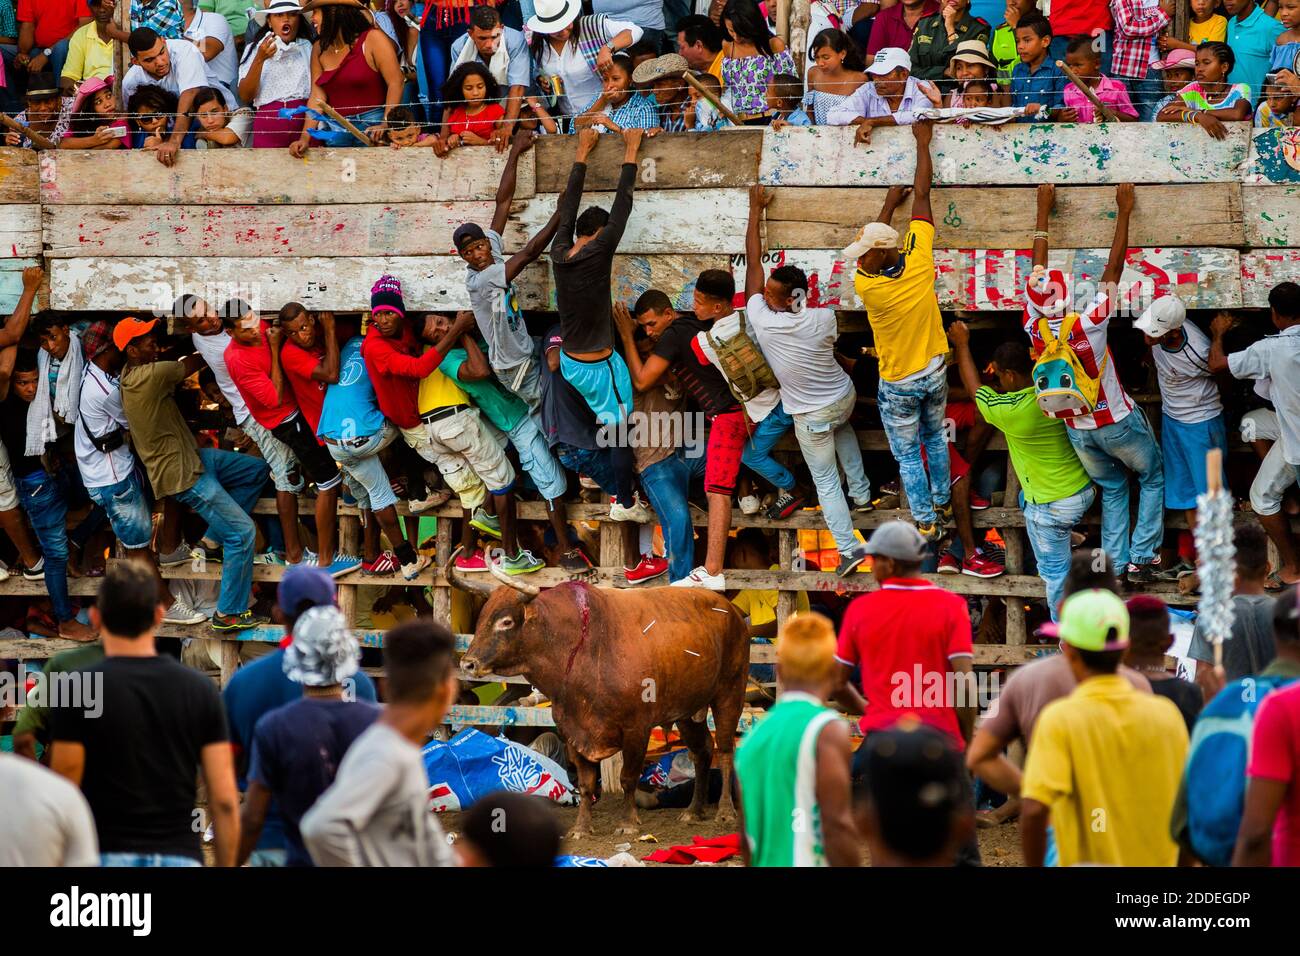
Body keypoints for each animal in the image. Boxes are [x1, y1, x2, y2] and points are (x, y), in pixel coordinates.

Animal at [449, 554, 748, 837]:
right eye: (482, 618)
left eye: (506, 621)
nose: (468, 664)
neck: (582, 648)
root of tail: (731, 611)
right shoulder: (571, 730)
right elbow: (585, 783)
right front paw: (581, 827)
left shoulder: (636, 729)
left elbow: (628, 777)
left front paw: (628, 823)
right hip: (688, 711)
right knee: (702, 752)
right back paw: (693, 811)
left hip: (730, 694)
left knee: (724, 750)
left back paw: (725, 811)